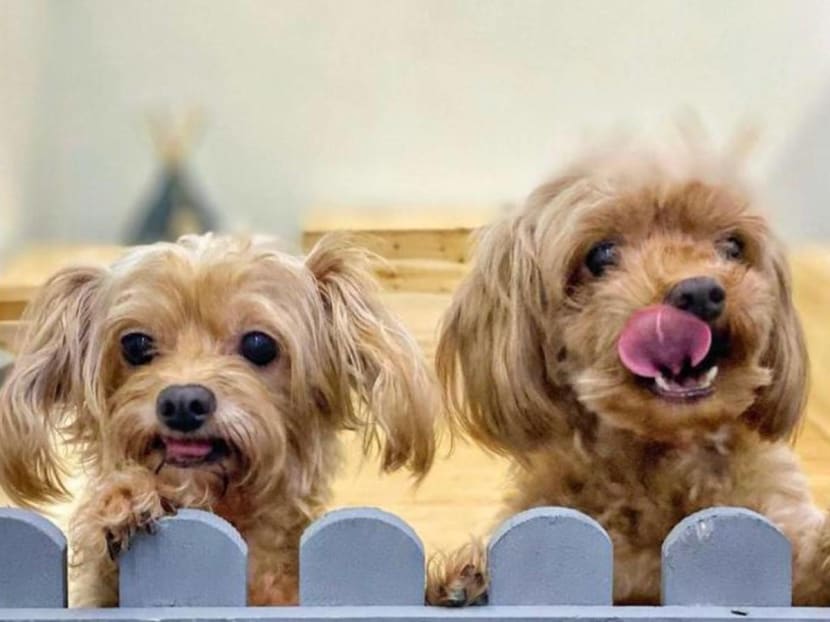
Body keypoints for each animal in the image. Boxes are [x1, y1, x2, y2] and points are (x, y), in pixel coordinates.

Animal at [426, 139, 830, 606]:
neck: (658, 463)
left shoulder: (779, 523)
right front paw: (466, 583)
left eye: (732, 246)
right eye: (601, 254)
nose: (700, 292)